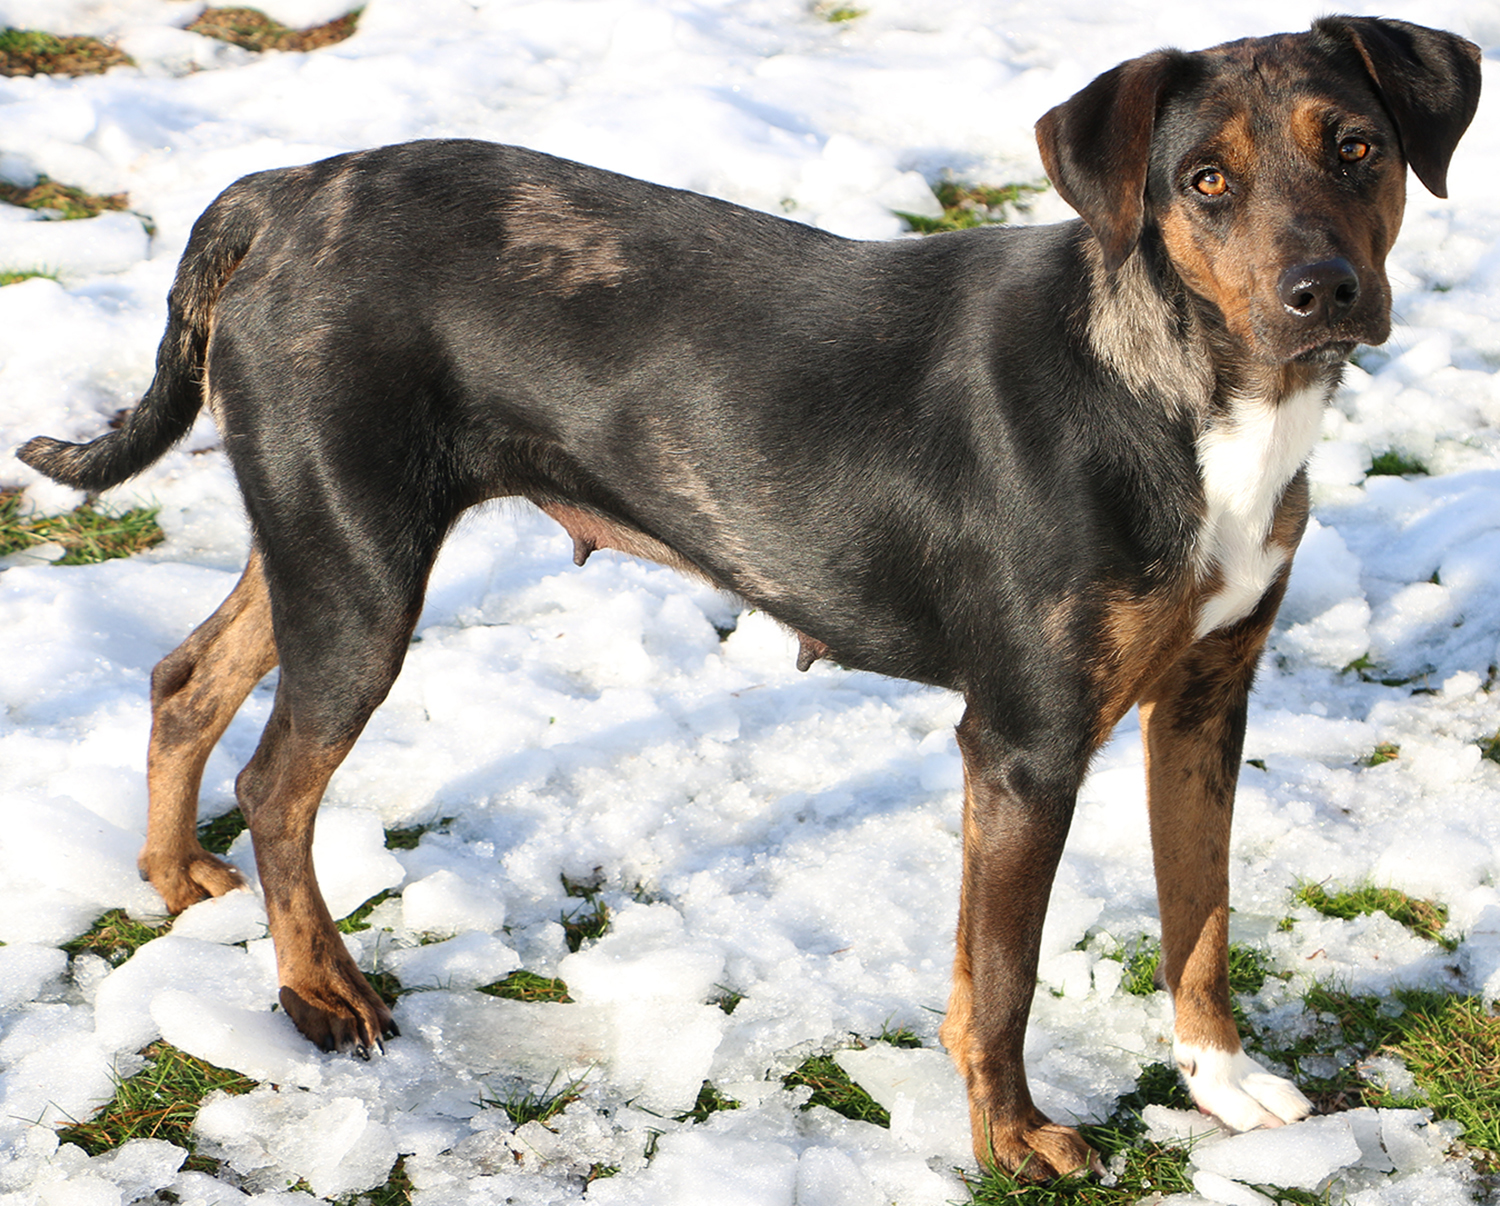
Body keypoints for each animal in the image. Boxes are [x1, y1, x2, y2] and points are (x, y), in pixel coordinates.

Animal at [17, 14, 1482, 1182]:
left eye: (1358, 146)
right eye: (1204, 181)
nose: (1322, 293)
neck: (1196, 396)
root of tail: (277, 193)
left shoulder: (1206, 699)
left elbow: (1203, 917)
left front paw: (1225, 1087)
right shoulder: (1025, 741)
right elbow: (1000, 977)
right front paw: (1016, 1141)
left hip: (319, 540)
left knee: (186, 679)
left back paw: (173, 880)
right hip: (364, 570)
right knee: (278, 781)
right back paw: (321, 993)